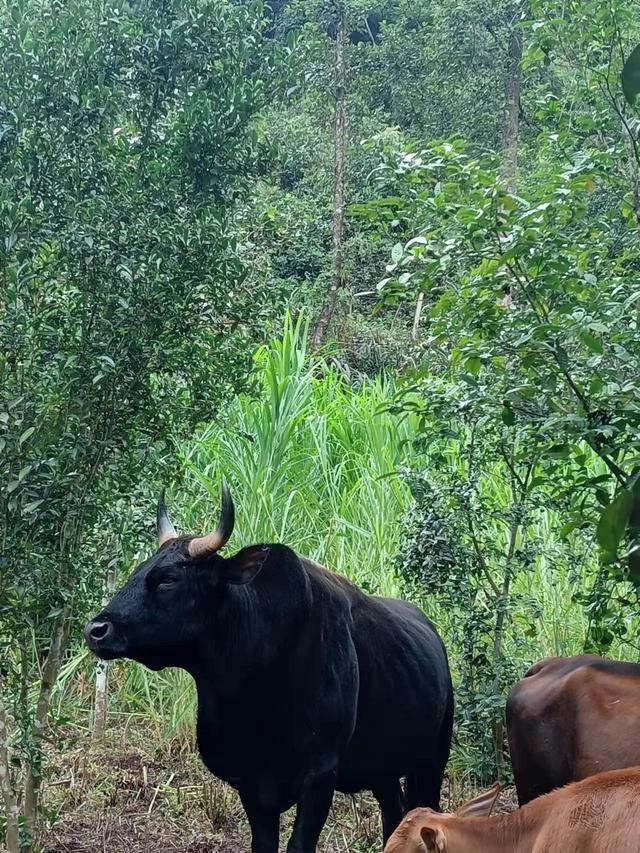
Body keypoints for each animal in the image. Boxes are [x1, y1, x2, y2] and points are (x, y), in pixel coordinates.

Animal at [85, 486, 452, 852]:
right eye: (135, 574)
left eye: (167, 581)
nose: (96, 630)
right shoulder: (251, 784)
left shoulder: (319, 776)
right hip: (383, 769)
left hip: (432, 760)